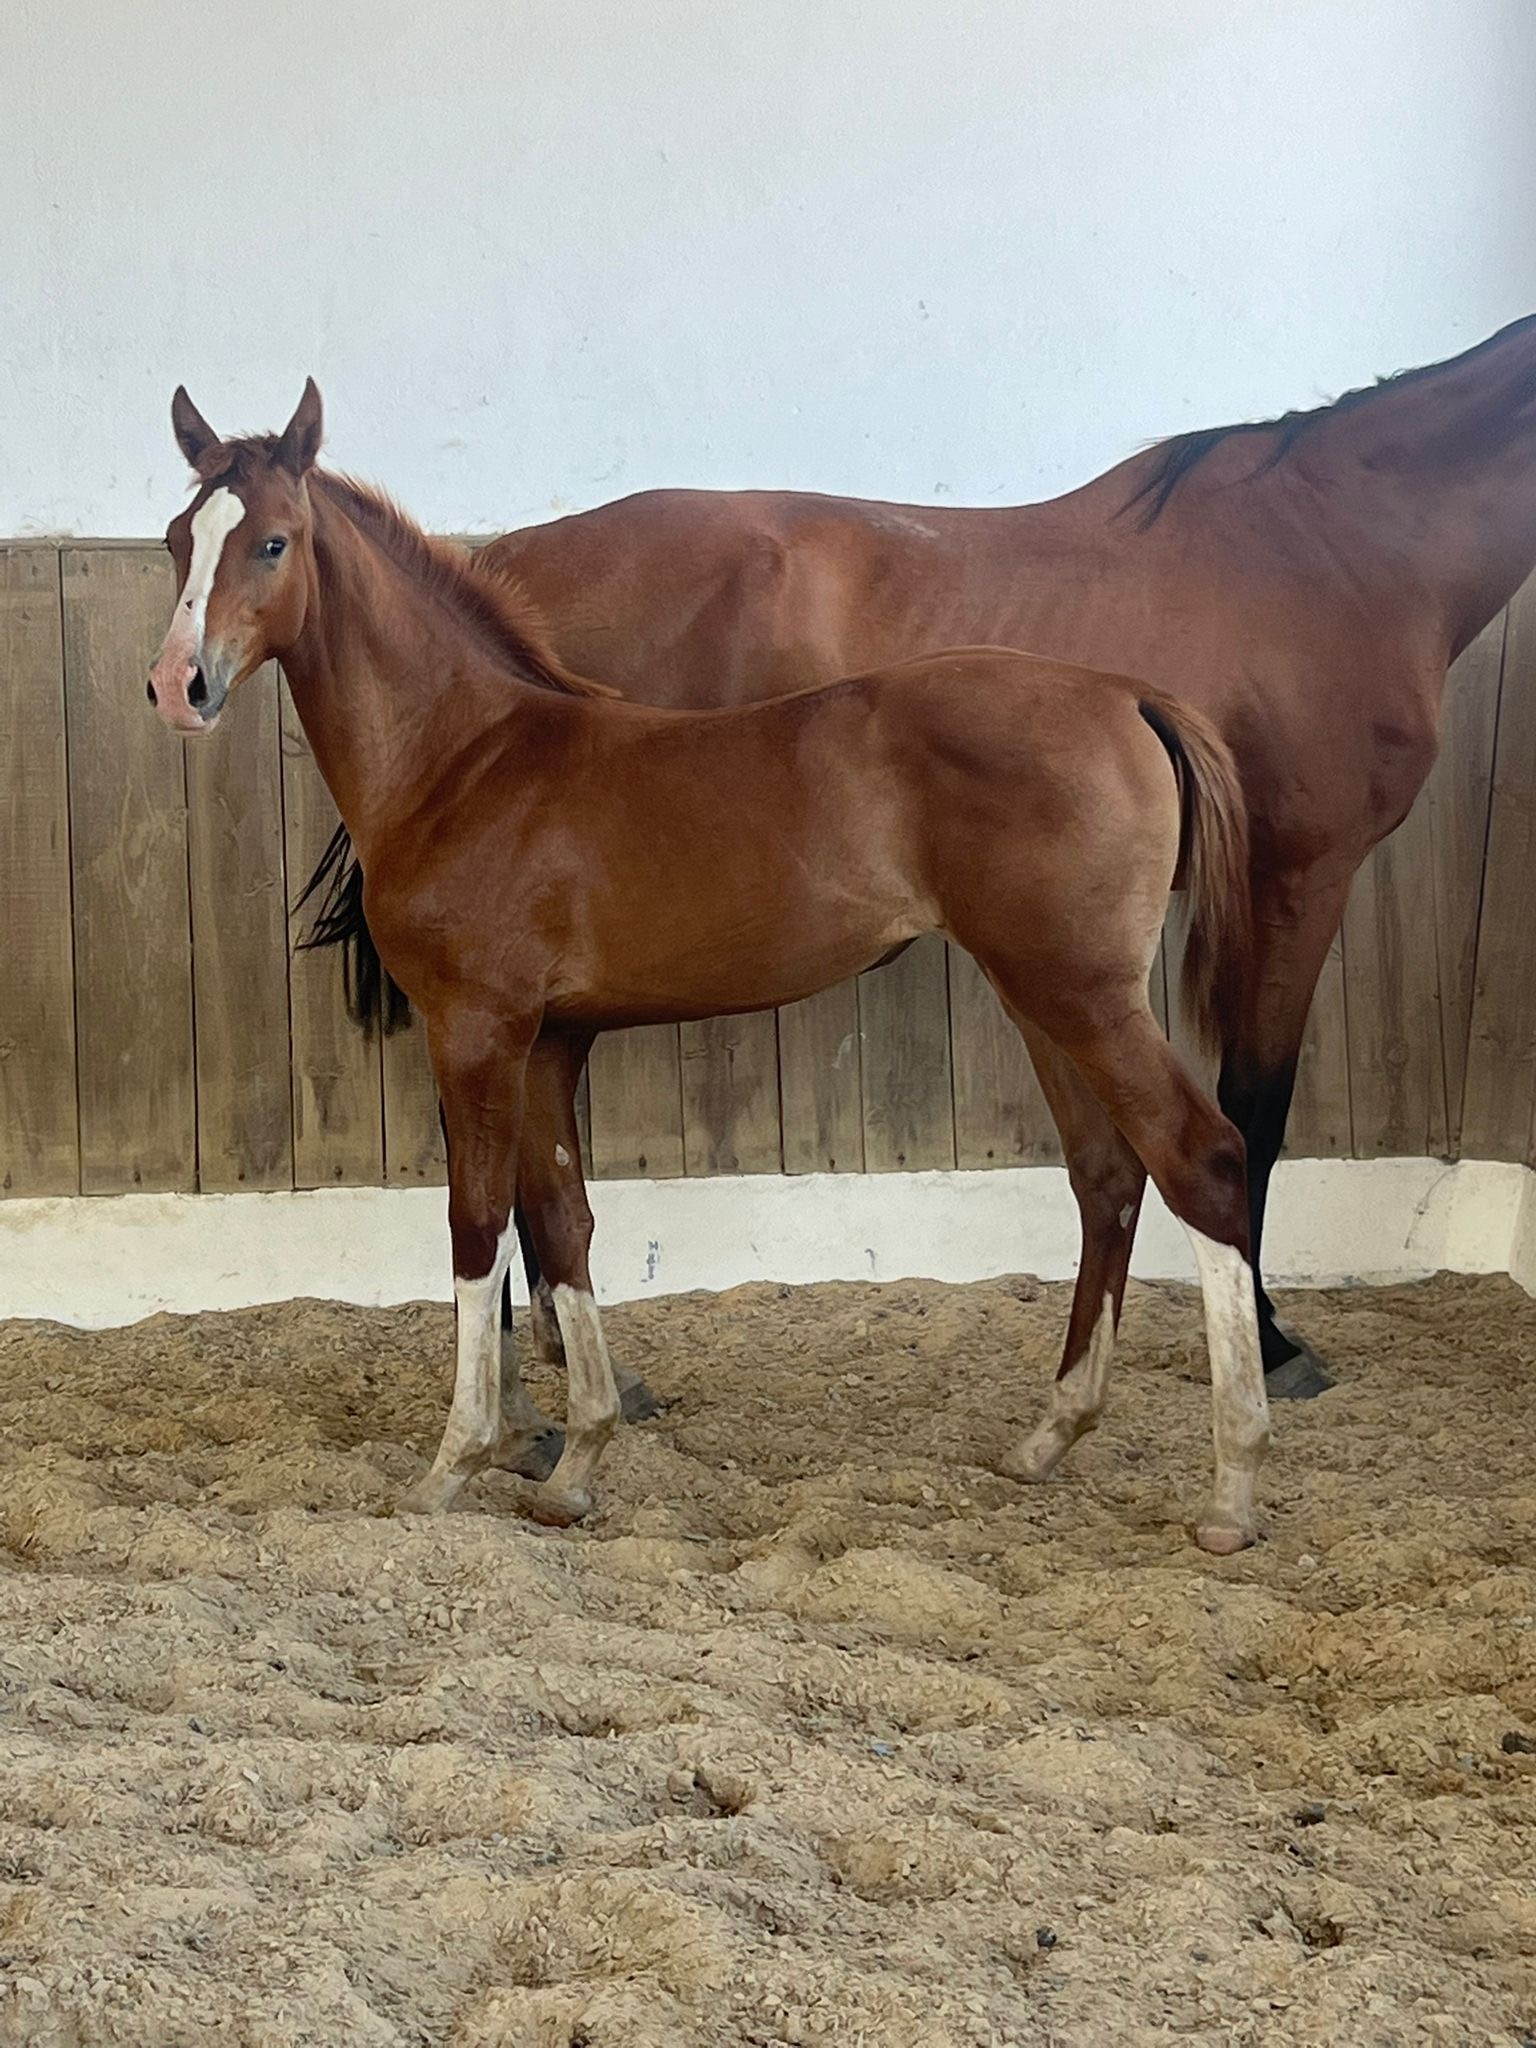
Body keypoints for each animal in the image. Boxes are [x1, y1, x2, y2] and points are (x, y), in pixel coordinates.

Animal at [148, 382, 1268, 1554]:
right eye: (179, 537)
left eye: (272, 540)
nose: (178, 686)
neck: (466, 760)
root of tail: (1128, 694)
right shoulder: (549, 1041)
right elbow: (564, 1222)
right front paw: (576, 1463)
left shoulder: (478, 1030)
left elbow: (477, 1228)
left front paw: (453, 1464)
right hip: (1044, 997)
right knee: (1107, 1173)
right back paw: (1049, 1436)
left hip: (1080, 995)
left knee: (1200, 1157)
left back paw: (1231, 1487)